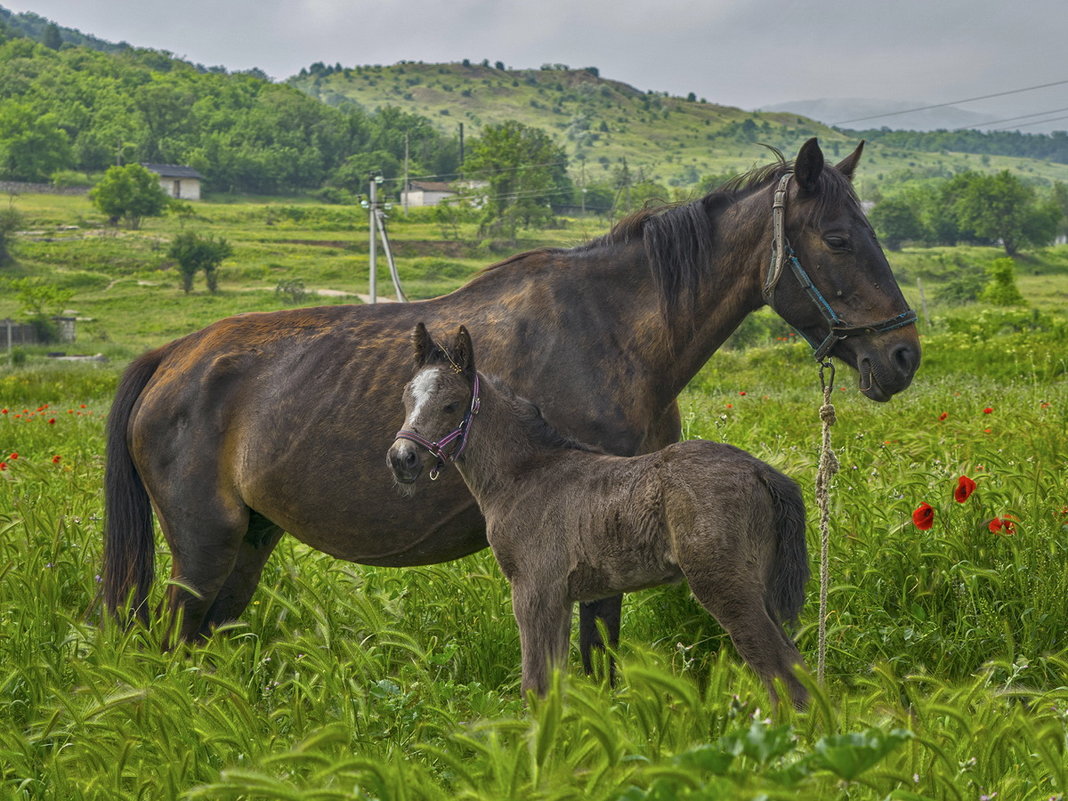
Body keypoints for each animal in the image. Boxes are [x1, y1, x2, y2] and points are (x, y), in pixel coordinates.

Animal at [106, 137, 918, 653]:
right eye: (839, 238)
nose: (903, 354)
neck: (609, 330)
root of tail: (171, 358)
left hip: (246, 546)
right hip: (202, 551)